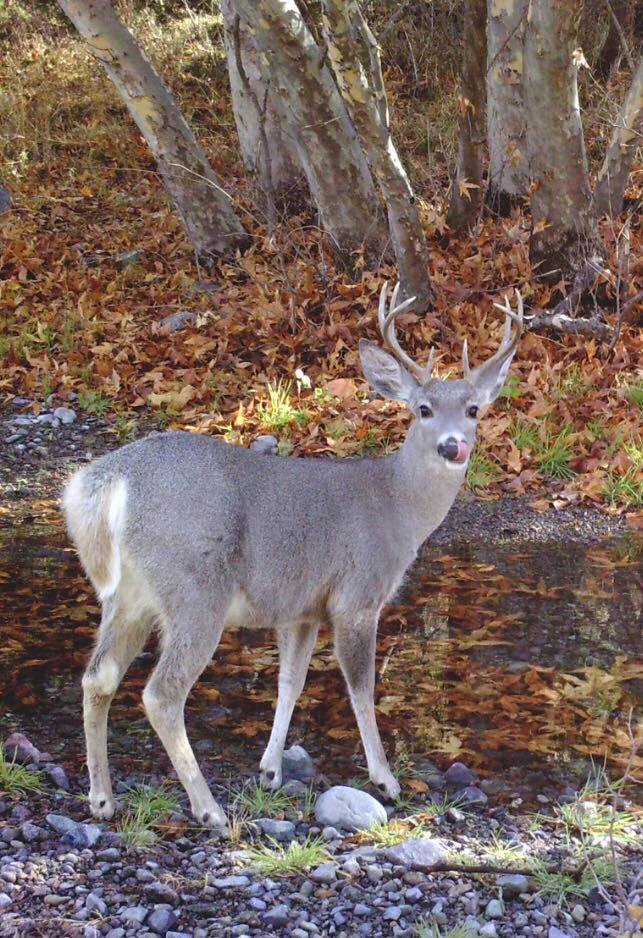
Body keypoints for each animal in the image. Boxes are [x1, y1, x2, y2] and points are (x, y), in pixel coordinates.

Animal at [63, 284, 524, 828]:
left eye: (473, 409)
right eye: (424, 409)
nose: (454, 447)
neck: (396, 506)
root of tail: (108, 482)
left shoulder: (302, 608)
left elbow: (291, 682)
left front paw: (270, 770)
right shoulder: (356, 595)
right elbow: (362, 688)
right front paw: (385, 779)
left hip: (129, 595)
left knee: (98, 677)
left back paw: (102, 798)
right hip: (195, 586)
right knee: (161, 693)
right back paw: (208, 808)